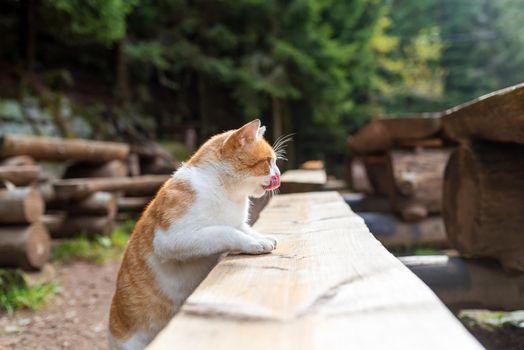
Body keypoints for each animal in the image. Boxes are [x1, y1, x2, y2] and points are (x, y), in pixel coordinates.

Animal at [107, 120, 282, 350]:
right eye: (269, 161)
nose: (279, 176)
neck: (226, 191)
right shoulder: (172, 239)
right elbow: (225, 231)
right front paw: (255, 244)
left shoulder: (237, 222)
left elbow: (243, 228)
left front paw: (261, 238)